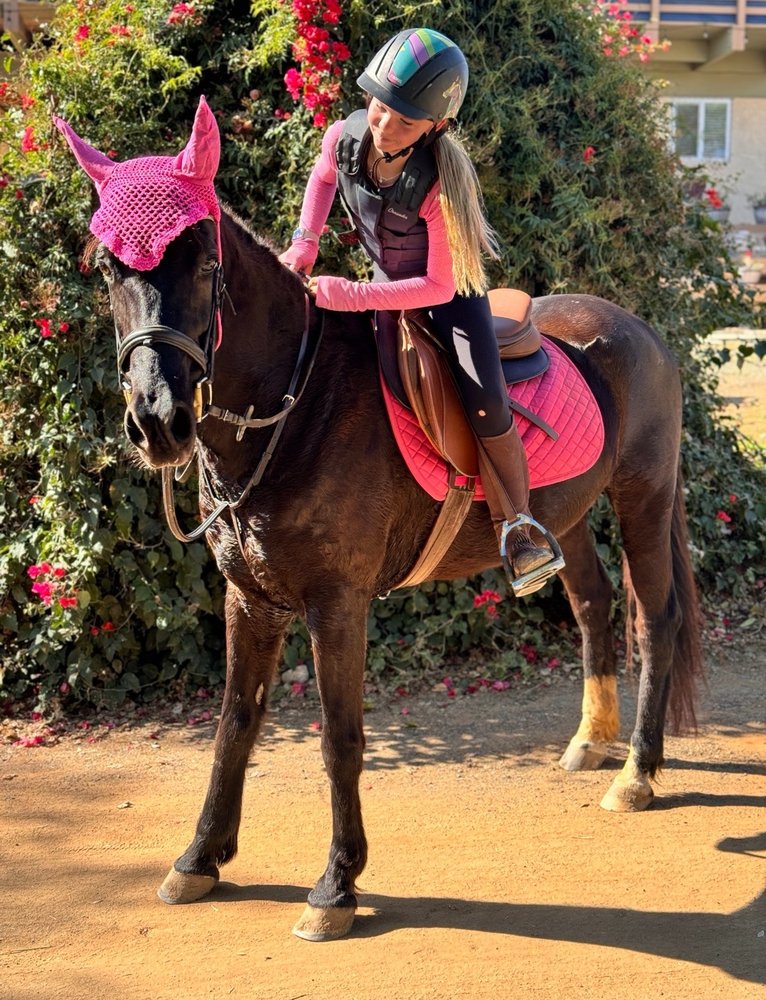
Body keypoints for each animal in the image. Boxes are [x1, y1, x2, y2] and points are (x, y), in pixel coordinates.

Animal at [58, 102, 702, 941]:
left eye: (203, 263)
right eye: (109, 268)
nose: (158, 420)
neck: (298, 404)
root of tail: (640, 330)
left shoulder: (337, 603)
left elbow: (340, 737)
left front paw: (336, 884)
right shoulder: (250, 598)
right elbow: (235, 724)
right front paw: (199, 858)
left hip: (642, 498)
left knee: (653, 620)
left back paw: (637, 773)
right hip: (565, 515)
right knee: (593, 603)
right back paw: (592, 740)